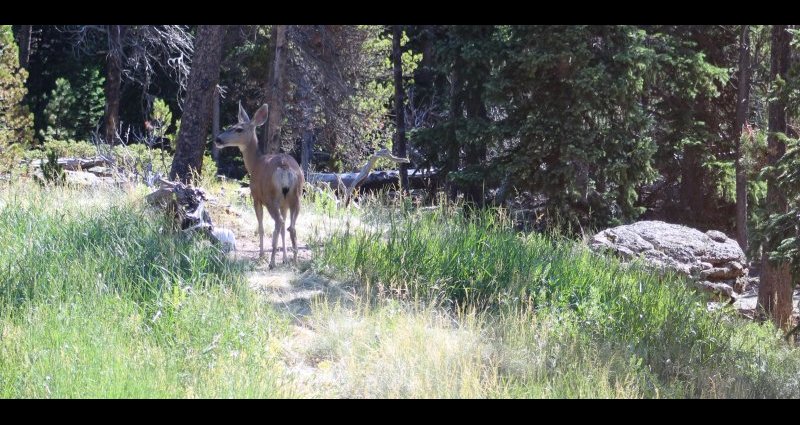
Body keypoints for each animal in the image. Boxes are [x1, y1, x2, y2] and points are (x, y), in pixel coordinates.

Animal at [214, 102, 304, 268]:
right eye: (232, 125)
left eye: (238, 128)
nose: (218, 139)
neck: (254, 163)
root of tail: (285, 167)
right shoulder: (284, 204)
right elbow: (283, 229)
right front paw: (285, 258)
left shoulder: (256, 197)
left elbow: (261, 227)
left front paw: (262, 255)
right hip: (296, 196)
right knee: (290, 226)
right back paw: (294, 261)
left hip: (270, 198)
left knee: (279, 222)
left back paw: (271, 262)